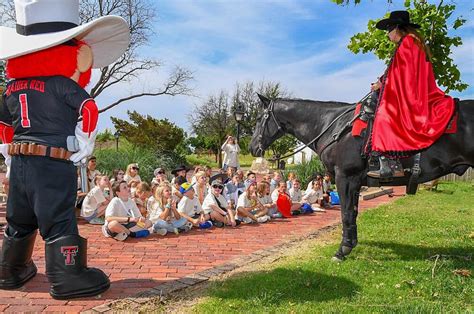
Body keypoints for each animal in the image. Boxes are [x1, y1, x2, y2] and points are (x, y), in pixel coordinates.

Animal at [250, 94, 472, 262]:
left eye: (260, 118)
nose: (252, 148)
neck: (335, 128)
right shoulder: (355, 182)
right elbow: (353, 213)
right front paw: (351, 244)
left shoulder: (345, 178)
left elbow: (346, 213)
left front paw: (342, 250)